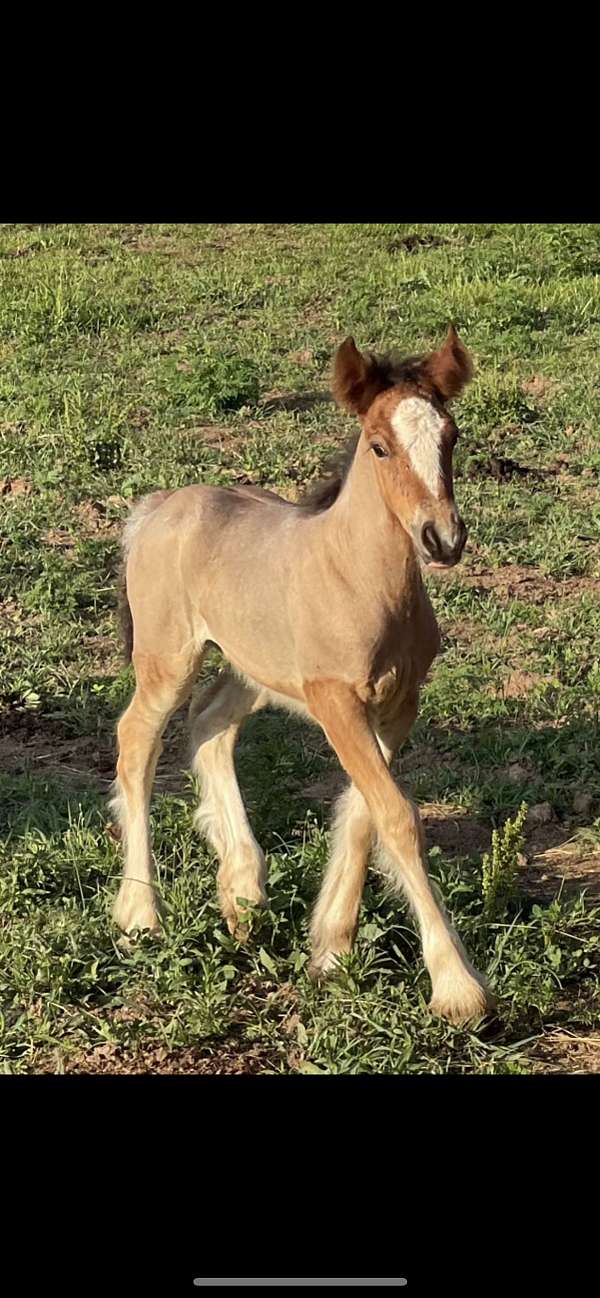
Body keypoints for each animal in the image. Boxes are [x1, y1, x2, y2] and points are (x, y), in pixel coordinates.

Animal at [112, 329, 490, 1028]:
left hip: (252, 666)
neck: (361, 582)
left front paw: (331, 951)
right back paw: (140, 914)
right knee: (136, 741)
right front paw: (456, 988)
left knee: (210, 724)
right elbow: (397, 816)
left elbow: (367, 811)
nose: (442, 538)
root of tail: (156, 507)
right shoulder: (333, 698)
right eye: (379, 444)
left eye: (451, 437)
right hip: (168, 660)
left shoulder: (398, 703)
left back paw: (242, 890)